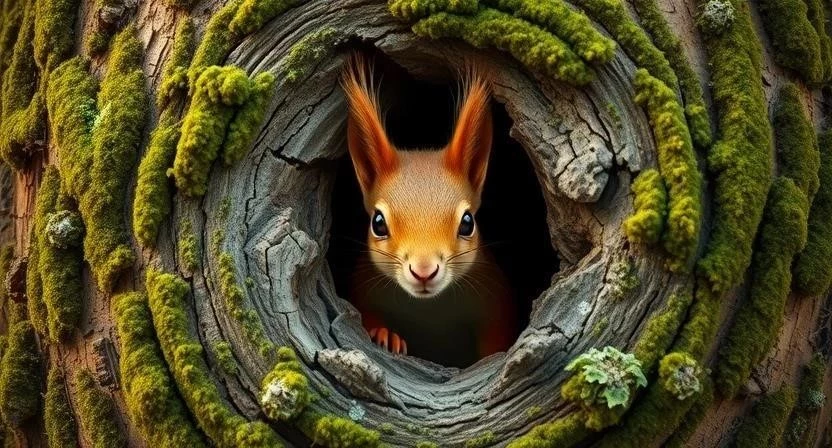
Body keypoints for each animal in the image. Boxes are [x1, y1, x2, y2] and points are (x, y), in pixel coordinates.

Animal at [340, 54, 516, 366]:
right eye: (378, 223)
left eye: (468, 222)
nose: (423, 271)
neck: (429, 308)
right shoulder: (363, 287)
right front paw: (385, 334)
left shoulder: (495, 299)